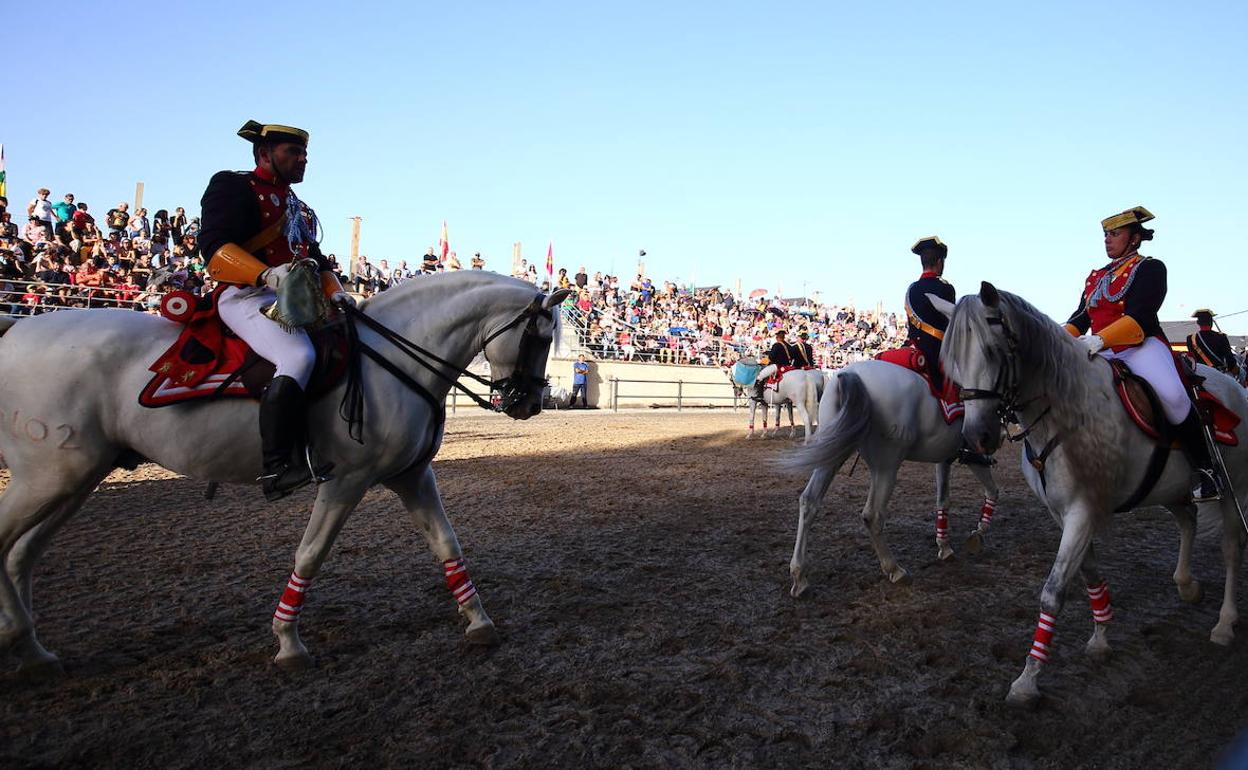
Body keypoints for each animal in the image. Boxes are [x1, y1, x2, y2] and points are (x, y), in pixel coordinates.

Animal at [0, 268, 571, 673]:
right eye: (540, 340)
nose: (528, 404)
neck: (392, 357)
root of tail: (16, 332)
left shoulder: (412, 477)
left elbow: (447, 544)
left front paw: (479, 621)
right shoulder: (346, 481)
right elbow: (310, 554)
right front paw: (288, 643)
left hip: (75, 479)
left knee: (21, 554)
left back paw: (32, 649)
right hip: (47, 478)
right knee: (8, 547)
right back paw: (21, 640)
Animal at [788, 356, 1003, 594]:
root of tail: (850, 374)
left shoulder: (944, 458)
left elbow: (943, 500)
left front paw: (945, 546)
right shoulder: (973, 454)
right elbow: (992, 490)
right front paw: (979, 533)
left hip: (833, 452)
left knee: (810, 501)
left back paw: (799, 575)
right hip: (886, 466)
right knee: (873, 515)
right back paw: (895, 570)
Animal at [938, 280, 1248, 703]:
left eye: (992, 351)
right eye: (951, 361)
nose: (976, 438)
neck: (1064, 412)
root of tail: (1232, 384)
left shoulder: (1083, 513)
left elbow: (1053, 590)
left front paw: (1028, 679)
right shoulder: (1064, 513)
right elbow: (1088, 576)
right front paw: (1101, 637)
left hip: (1232, 489)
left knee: (1231, 549)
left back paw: (1225, 624)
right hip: (1170, 487)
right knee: (1188, 519)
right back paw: (1187, 586)